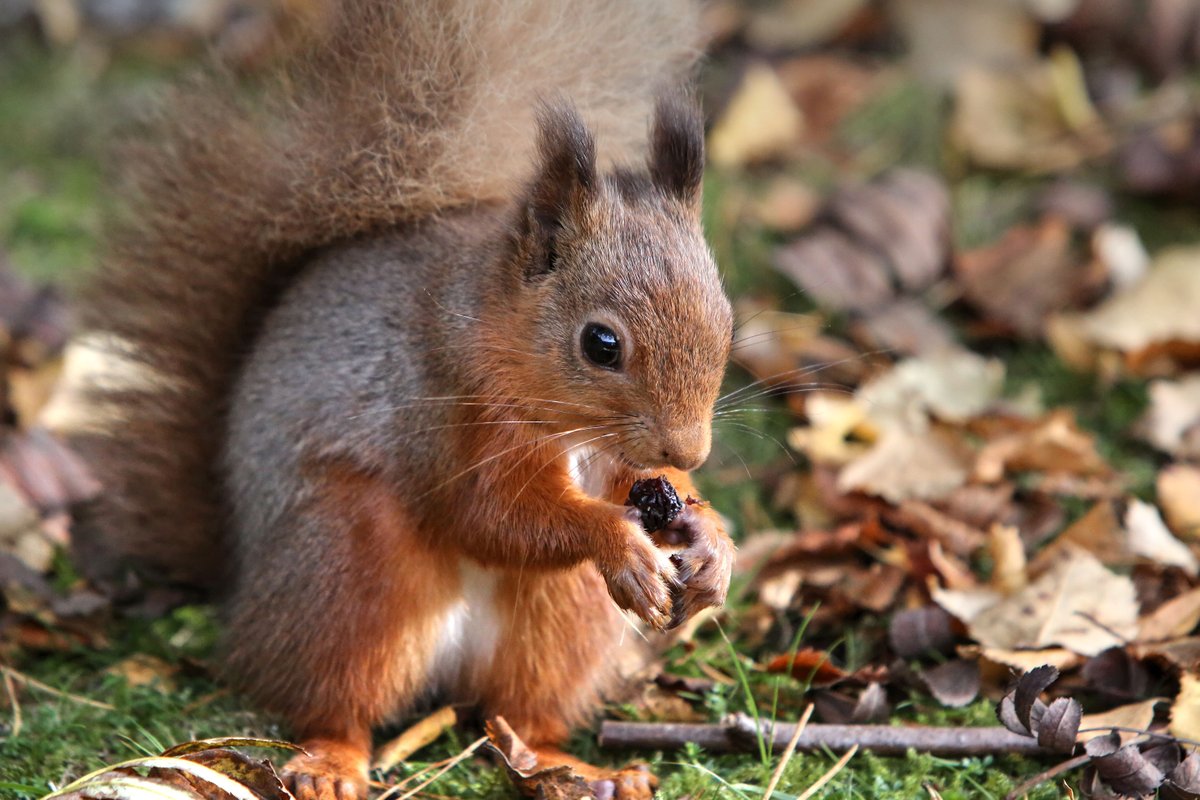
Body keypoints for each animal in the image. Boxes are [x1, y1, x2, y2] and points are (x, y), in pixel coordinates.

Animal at [66, 0, 736, 798]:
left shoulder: (621, 465)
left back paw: (576, 767)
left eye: (727, 316)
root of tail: (240, 577)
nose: (690, 449)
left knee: (518, 715)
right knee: (332, 695)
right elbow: (490, 516)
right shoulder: (445, 413)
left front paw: (713, 540)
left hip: (560, 619)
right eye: (600, 344)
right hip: (347, 569)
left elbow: (643, 491)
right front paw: (618, 542)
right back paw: (331, 762)